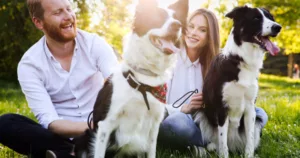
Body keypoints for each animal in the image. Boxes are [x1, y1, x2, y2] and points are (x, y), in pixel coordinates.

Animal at [74, 0, 188, 158]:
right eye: (159, 17)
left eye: (176, 18)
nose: (177, 25)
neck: (144, 81)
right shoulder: (105, 125)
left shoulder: (154, 126)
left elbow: (152, 152)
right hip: (86, 136)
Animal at [195, 5, 282, 157]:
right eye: (256, 18)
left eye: (271, 18)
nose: (278, 27)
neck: (240, 60)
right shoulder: (222, 107)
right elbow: (223, 142)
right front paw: (223, 154)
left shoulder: (250, 108)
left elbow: (250, 139)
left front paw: (249, 155)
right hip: (201, 114)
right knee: (217, 142)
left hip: (257, 121)